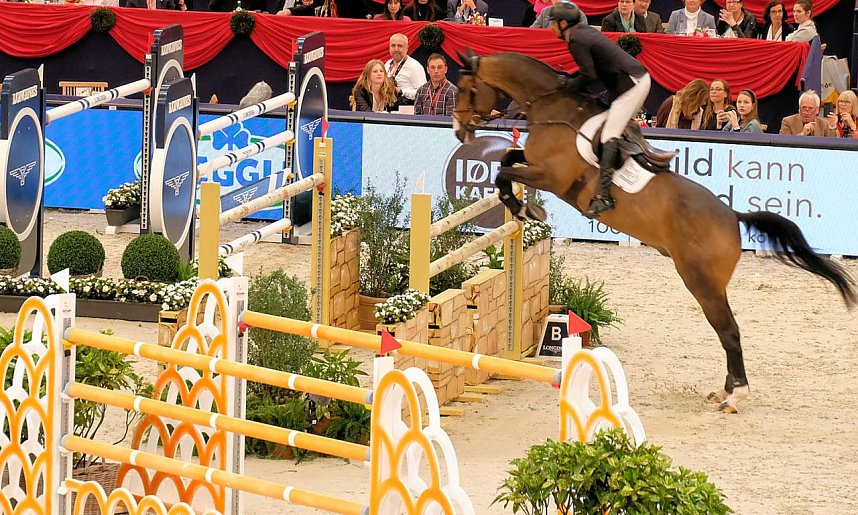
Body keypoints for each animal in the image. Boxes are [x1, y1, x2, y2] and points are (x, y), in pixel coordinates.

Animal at [452, 51, 856, 413]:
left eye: (467, 89)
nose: (459, 130)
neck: (553, 111)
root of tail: (732, 216)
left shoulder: (551, 176)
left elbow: (504, 172)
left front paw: (526, 208)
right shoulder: (533, 163)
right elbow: (507, 159)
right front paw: (522, 205)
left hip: (700, 281)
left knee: (729, 331)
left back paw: (734, 397)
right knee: (727, 332)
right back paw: (724, 391)